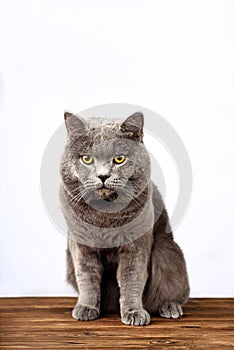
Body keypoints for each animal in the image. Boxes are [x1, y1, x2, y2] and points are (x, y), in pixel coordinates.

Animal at [59, 111, 189, 326]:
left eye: (119, 159)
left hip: (166, 250)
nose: (103, 176)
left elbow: (131, 278)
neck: (104, 215)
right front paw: (86, 308)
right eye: (87, 158)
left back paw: (169, 307)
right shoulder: (80, 245)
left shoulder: (136, 245)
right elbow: (86, 277)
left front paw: (134, 313)